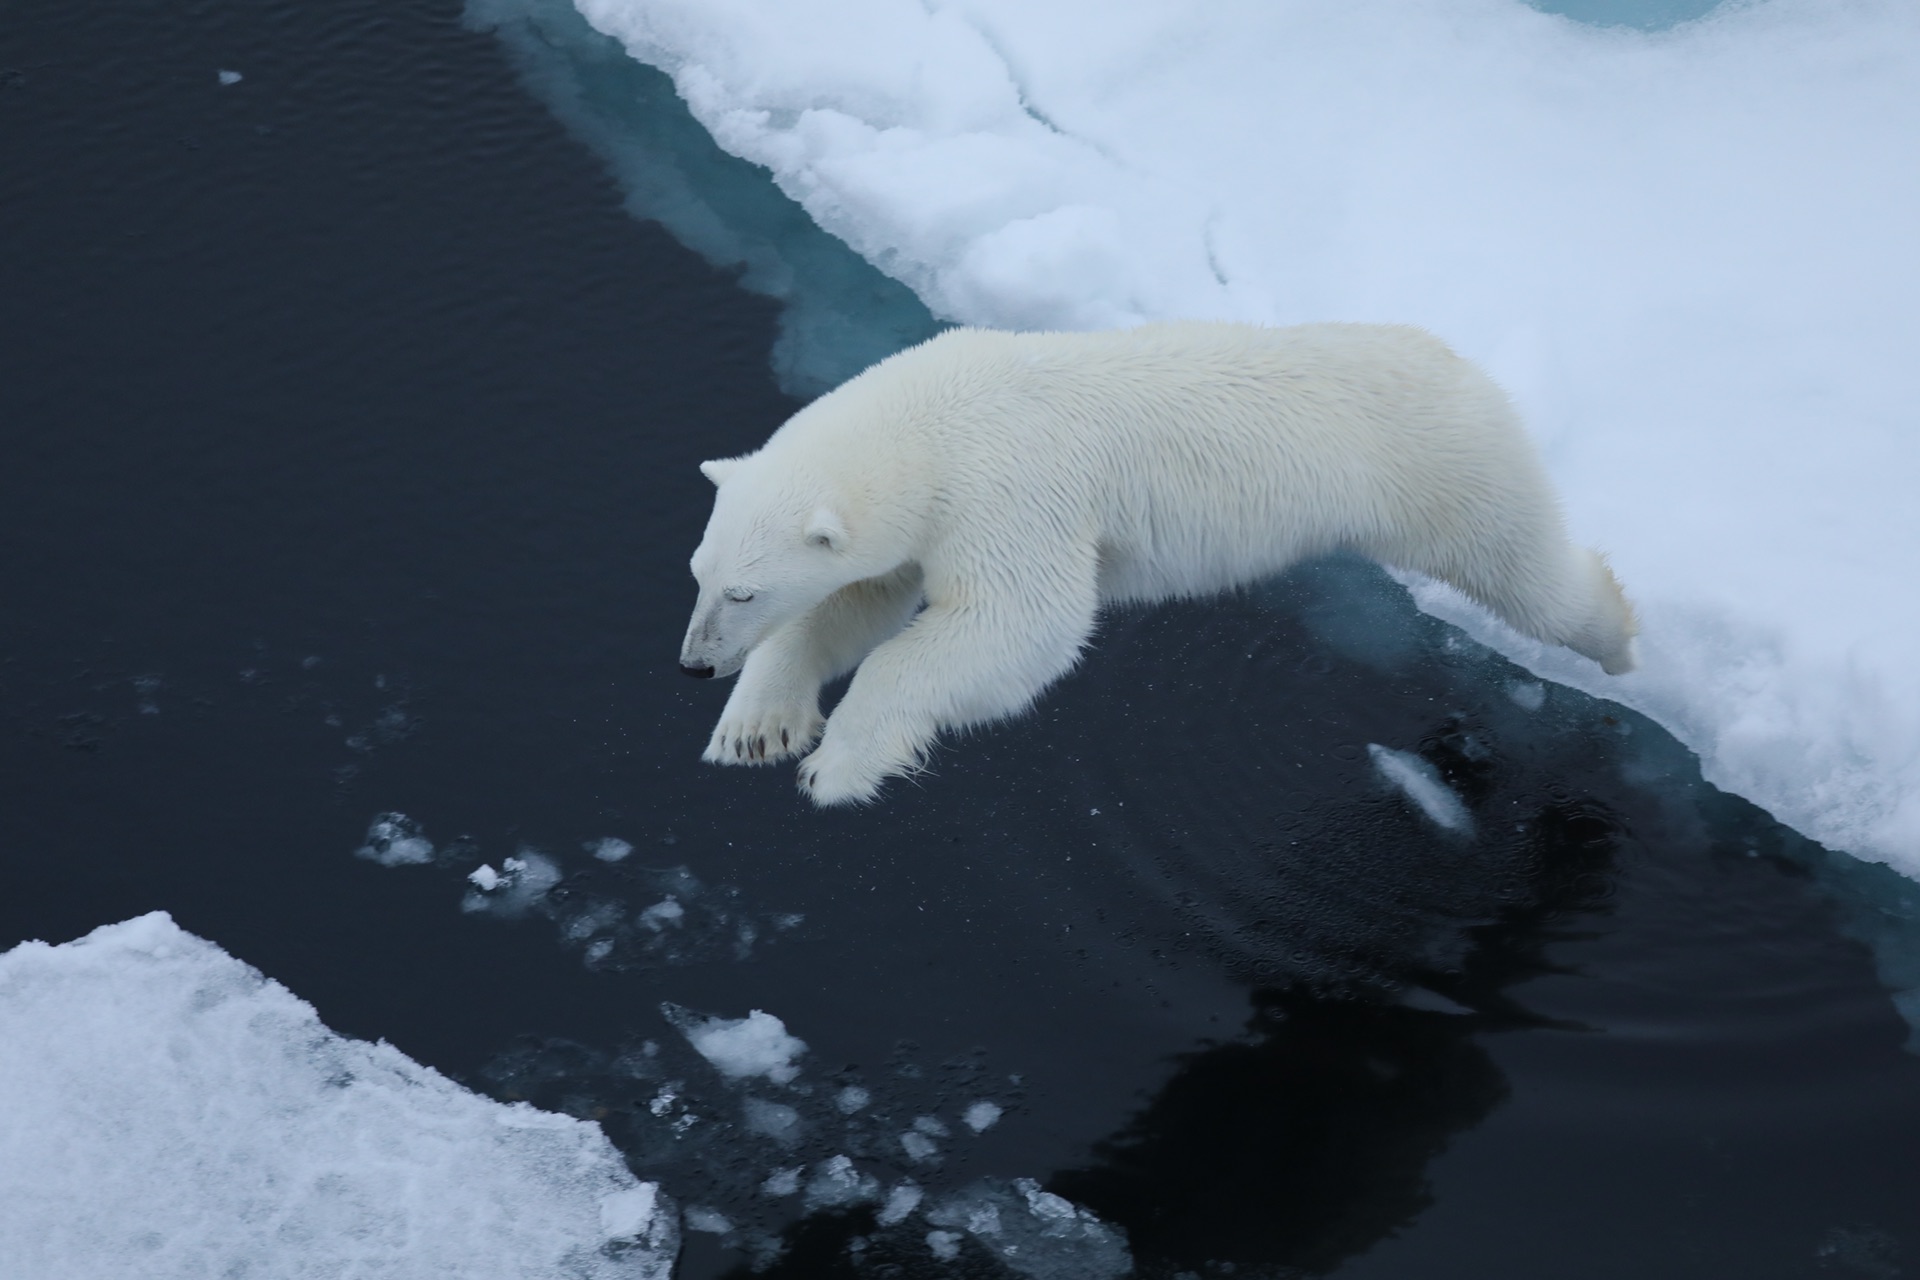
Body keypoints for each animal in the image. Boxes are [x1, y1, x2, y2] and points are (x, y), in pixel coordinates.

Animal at [675, 320, 1635, 805]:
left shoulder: (1010, 490)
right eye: (699, 574)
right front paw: (754, 729)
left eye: (743, 590)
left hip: (1438, 464)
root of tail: (1459, 357)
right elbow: (858, 601)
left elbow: (1020, 628)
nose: (692, 663)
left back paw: (1619, 636)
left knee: (1519, 566)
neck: (932, 426)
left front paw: (836, 767)